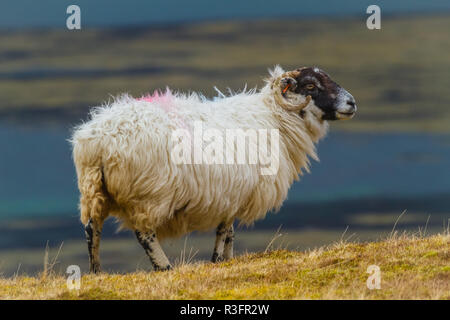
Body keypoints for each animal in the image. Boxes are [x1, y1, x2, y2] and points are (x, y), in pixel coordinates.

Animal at [72, 65, 356, 272]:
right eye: (311, 86)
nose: (352, 103)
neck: (273, 117)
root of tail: (99, 140)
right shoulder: (232, 194)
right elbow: (224, 231)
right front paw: (218, 260)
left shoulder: (232, 194)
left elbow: (229, 232)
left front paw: (228, 260)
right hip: (147, 194)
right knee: (144, 234)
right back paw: (164, 268)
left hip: (94, 191)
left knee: (91, 230)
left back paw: (97, 272)